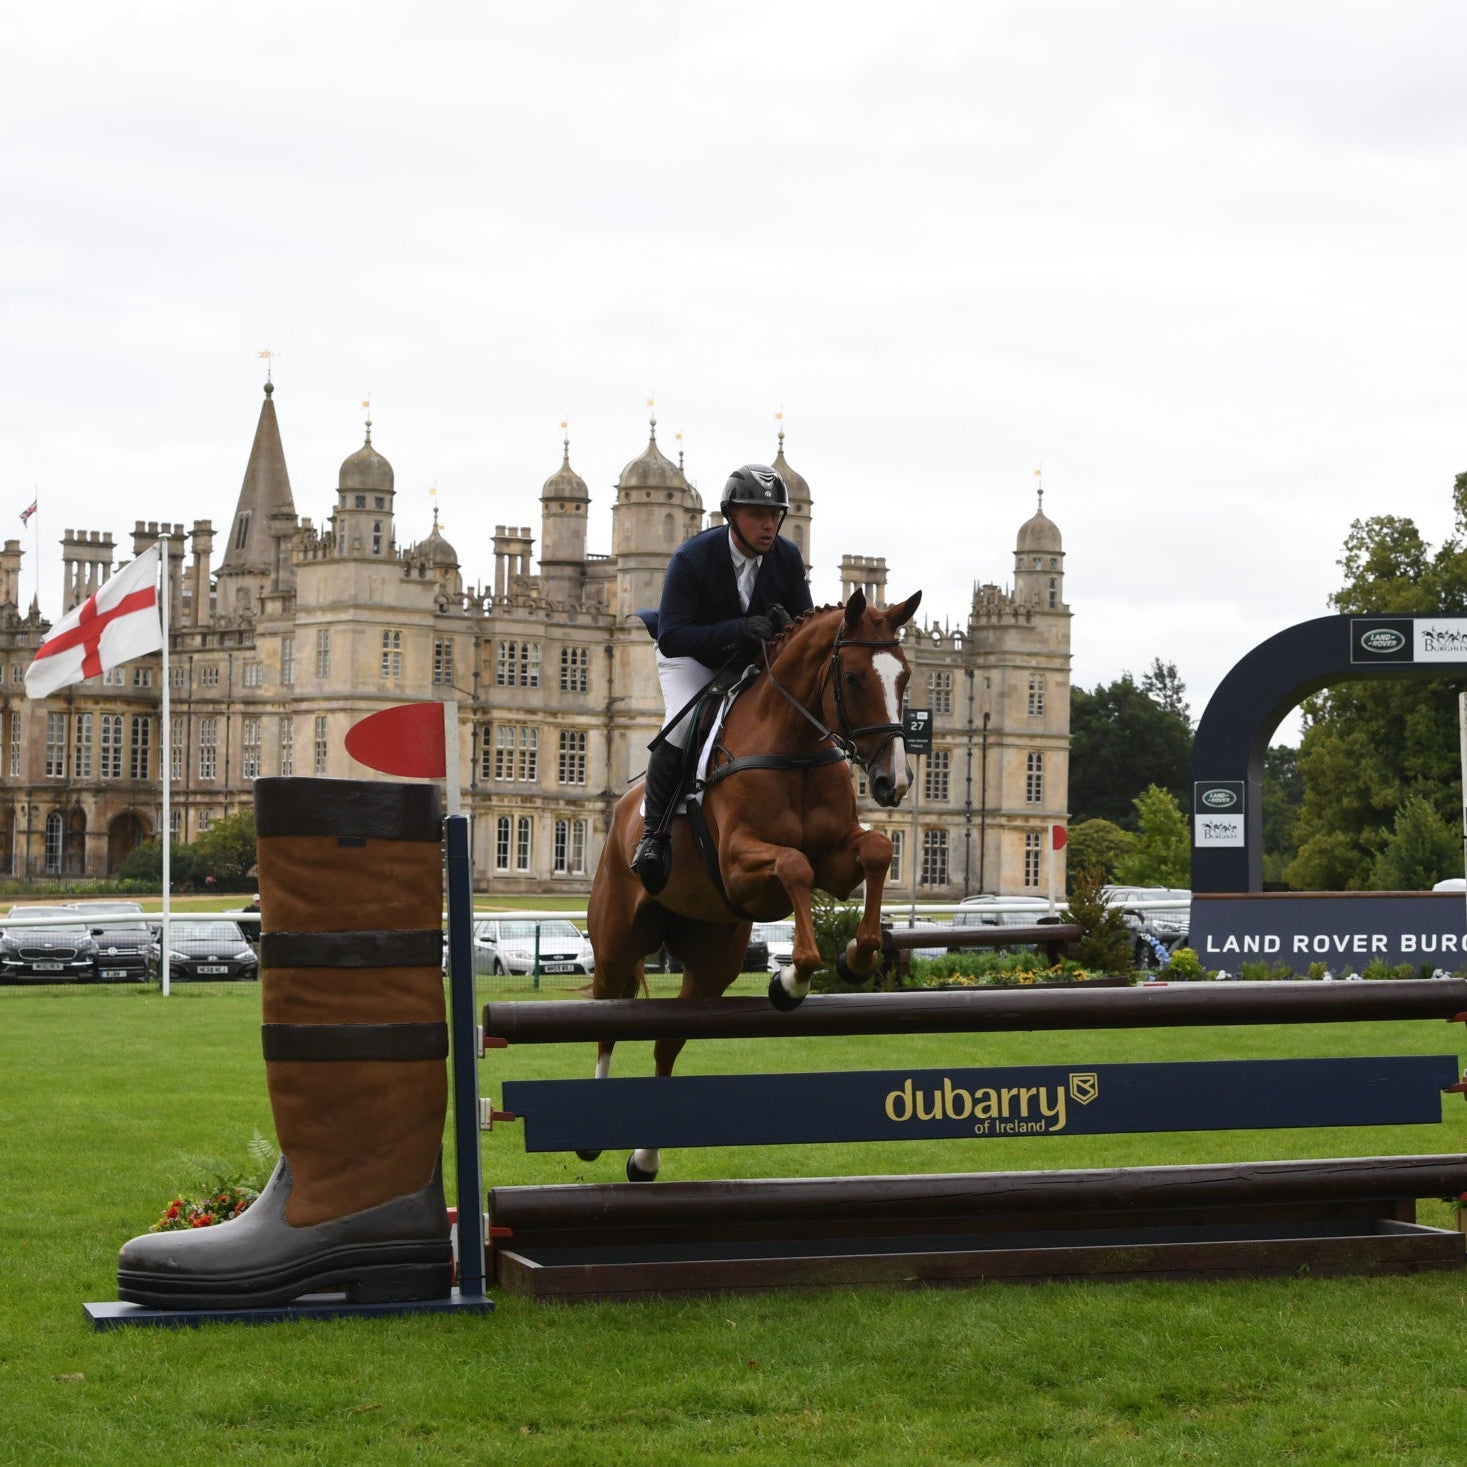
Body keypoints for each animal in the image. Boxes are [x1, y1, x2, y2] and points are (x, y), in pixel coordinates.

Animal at [585, 587, 922, 1180]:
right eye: (854, 677)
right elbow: (794, 866)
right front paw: (793, 979)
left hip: (711, 959)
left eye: (903, 677)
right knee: (607, 1017)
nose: (893, 783)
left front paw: (855, 957)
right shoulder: (740, 868)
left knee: (668, 1040)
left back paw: (645, 1159)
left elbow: (876, 852)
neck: (796, 744)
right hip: (617, 942)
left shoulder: (837, 859)